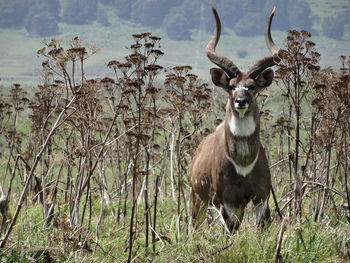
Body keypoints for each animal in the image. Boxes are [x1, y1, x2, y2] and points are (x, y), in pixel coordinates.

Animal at [190, 6, 280, 233]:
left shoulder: (261, 197)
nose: (240, 101)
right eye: (231, 86)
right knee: (194, 225)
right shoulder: (226, 200)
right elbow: (230, 230)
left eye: (252, 86)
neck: (243, 163)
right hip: (198, 198)